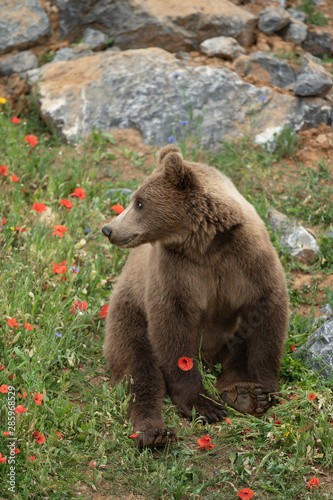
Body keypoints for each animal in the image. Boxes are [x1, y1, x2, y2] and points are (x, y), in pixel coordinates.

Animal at [101, 144, 288, 446]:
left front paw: (263, 391)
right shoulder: (176, 272)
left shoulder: (247, 260)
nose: (109, 229)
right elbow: (173, 329)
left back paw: (243, 394)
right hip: (129, 313)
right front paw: (205, 406)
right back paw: (155, 432)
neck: (205, 242)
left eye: (139, 202)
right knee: (140, 369)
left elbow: (265, 315)